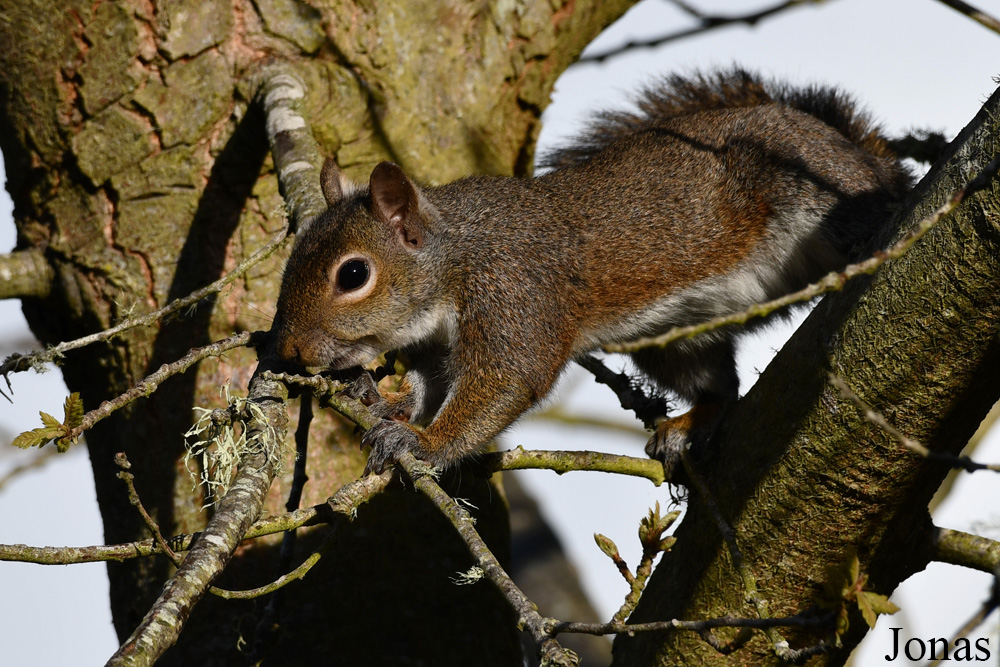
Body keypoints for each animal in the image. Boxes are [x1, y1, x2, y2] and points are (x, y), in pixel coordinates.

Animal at [272, 69, 916, 474]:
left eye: (353, 275)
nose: (290, 351)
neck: (457, 258)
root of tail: (860, 155)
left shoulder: (516, 294)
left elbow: (507, 381)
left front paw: (424, 441)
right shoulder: (434, 348)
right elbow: (431, 386)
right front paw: (392, 405)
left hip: (811, 189)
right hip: (674, 344)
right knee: (721, 386)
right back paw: (689, 425)